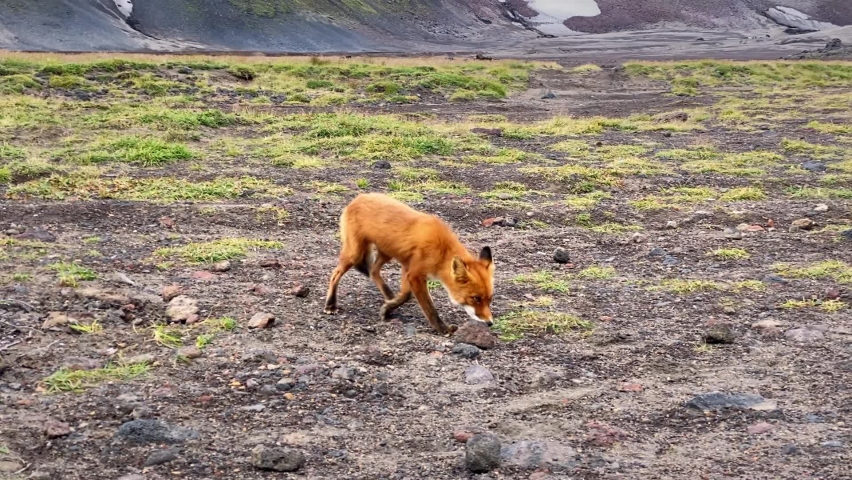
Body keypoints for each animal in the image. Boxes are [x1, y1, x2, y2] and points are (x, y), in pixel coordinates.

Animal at [324, 191, 496, 334]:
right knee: (335, 274)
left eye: (490, 298)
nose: (490, 323)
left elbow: (406, 295)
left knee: (373, 271)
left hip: (387, 253)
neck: (441, 250)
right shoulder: (414, 274)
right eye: (476, 298)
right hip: (354, 254)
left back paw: (389, 295)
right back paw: (330, 304)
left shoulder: (407, 268)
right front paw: (443, 329)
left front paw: (388, 308)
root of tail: (357, 198)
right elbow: (429, 308)